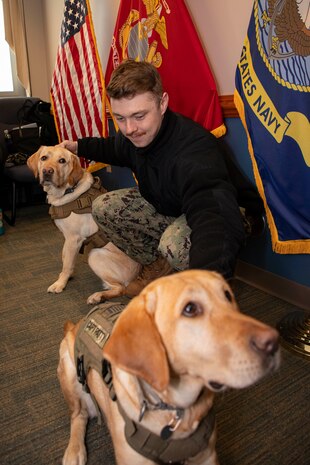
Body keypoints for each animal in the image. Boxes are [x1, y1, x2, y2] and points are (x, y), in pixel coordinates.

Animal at [27, 146, 140, 304]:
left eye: (62, 161)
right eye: (44, 158)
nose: (47, 171)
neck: (68, 190)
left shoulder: (73, 239)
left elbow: (67, 264)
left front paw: (60, 284)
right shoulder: (67, 239)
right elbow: (65, 258)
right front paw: (66, 277)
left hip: (95, 255)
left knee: (120, 289)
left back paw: (98, 296)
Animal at [57, 268, 280, 464]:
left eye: (228, 295)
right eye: (190, 309)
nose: (273, 342)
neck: (178, 409)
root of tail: (77, 324)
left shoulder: (206, 456)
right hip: (67, 366)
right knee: (78, 414)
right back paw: (74, 451)